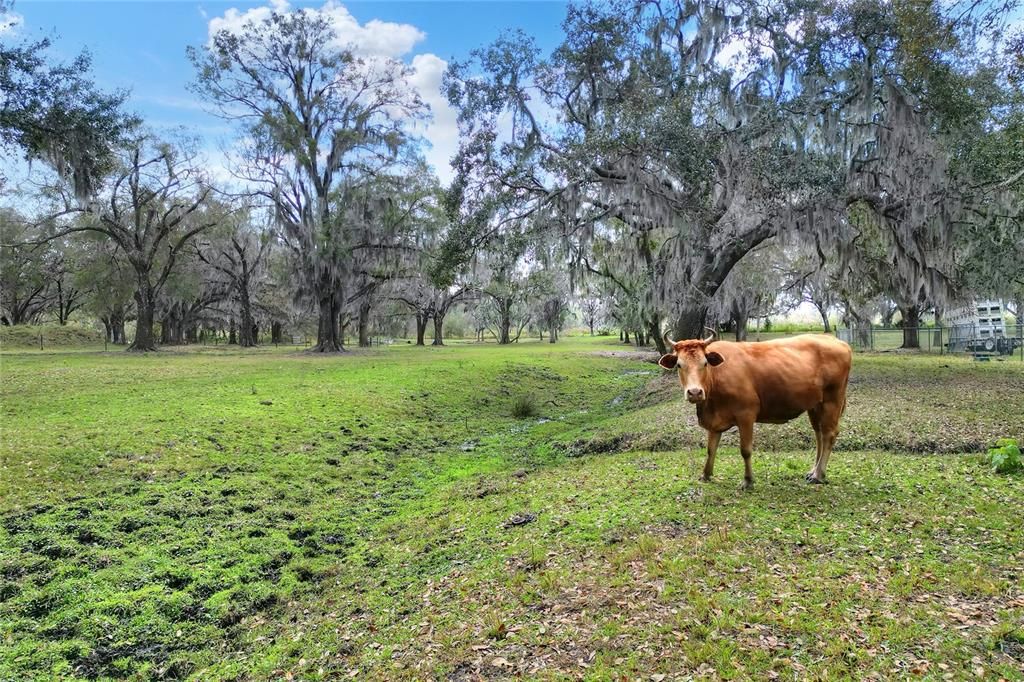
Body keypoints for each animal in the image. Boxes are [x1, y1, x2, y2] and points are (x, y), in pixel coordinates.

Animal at [659, 329, 851, 485]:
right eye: (679, 365)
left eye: (705, 363)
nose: (695, 392)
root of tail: (838, 341)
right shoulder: (715, 420)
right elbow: (710, 449)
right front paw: (706, 475)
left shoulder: (746, 414)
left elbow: (745, 450)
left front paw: (748, 480)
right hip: (815, 405)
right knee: (819, 434)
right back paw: (813, 471)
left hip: (832, 400)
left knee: (829, 434)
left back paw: (819, 474)